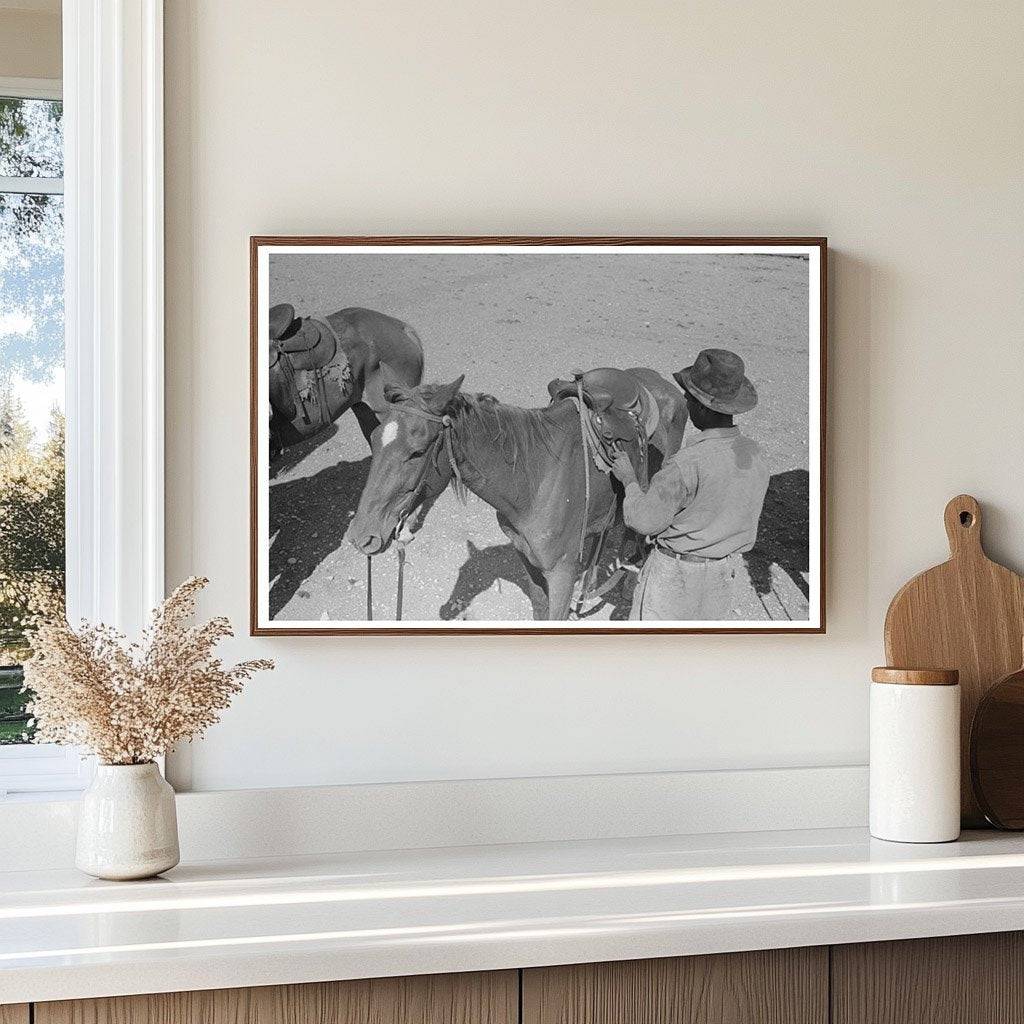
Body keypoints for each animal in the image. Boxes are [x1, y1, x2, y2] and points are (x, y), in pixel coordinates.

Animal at [344, 372, 688, 618]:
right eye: (373, 439)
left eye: (417, 452)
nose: (362, 536)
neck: (533, 481)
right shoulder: (528, 558)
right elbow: (539, 608)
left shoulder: (561, 573)